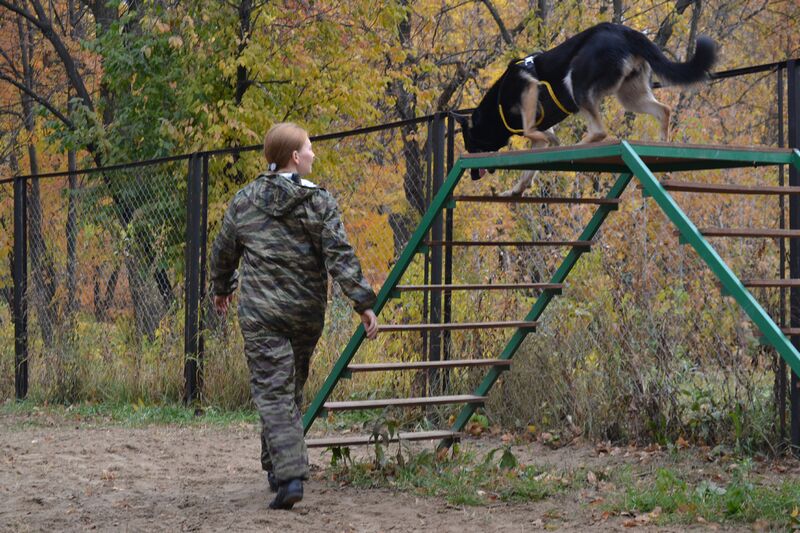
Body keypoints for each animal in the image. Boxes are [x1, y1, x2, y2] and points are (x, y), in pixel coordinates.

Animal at [456, 22, 720, 180]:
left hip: (575, 83)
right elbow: (537, 147)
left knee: (600, 131)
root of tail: (624, 31)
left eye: (471, 146)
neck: (497, 108)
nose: (473, 177)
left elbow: (531, 130)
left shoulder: (528, 86)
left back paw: (580, 145)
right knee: (663, 110)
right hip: (629, 96)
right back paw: (663, 142)